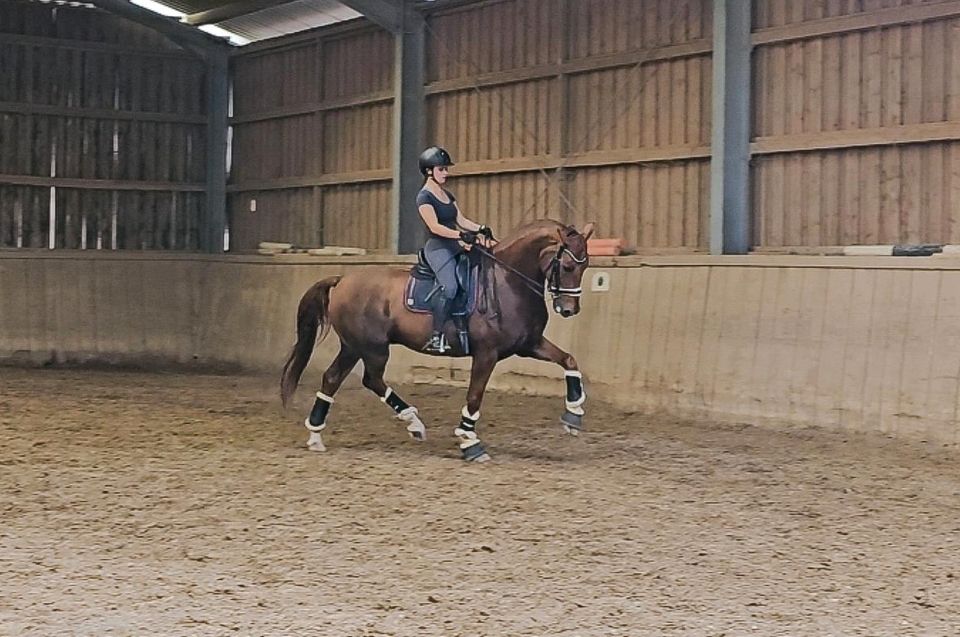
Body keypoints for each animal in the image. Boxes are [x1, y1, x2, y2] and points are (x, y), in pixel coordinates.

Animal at [278, 216, 592, 460]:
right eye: (567, 267)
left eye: (585, 266)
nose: (569, 309)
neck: (507, 281)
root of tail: (342, 279)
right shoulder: (487, 353)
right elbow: (475, 395)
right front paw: (469, 442)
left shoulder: (529, 344)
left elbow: (569, 360)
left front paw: (573, 415)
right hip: (372, 347)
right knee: (371, 379)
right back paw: (412, 423)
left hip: (353, 347)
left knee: (334, 378)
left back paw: (317, 437)